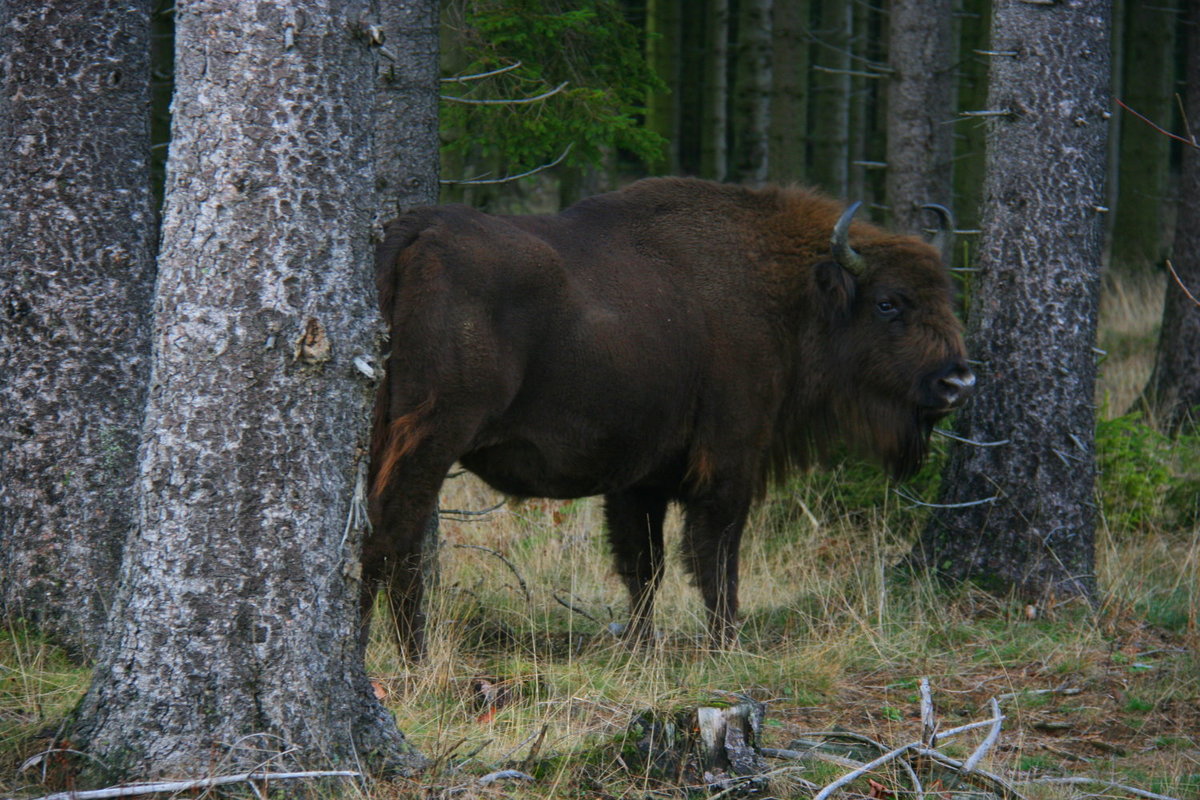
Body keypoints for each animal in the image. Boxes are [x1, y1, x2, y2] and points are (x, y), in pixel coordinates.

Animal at [364, 176, 974, 657]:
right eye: (889, 302)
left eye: (945, 293)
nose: (958, 381)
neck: (783, 289)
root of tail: (416, 232)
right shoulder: (730, 462)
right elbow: (716, 559)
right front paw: (726, 644)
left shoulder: (639, 480)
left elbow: (644, 565)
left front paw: (641, 647)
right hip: (434, 436)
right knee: (396, 535)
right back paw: (414, 657)